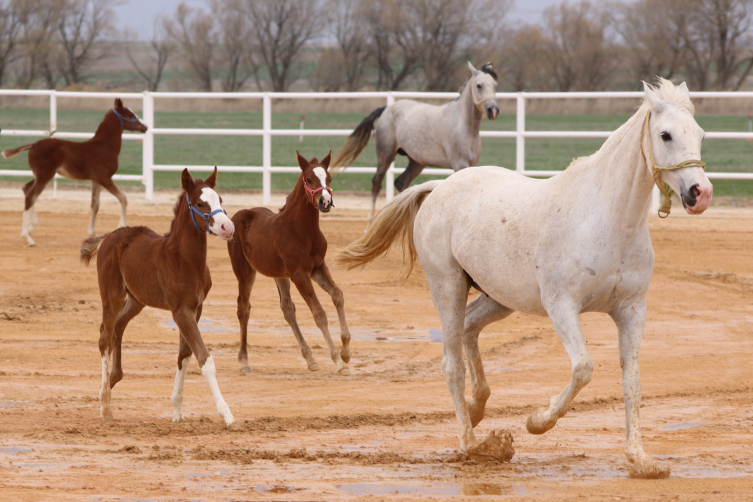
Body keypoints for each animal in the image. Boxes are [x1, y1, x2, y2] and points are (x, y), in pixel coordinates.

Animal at [1, 97, 146, 246]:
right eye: (130, 115)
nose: (145, 127)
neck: (104, 146)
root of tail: (33, 145)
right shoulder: (104, 178)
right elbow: (123, 198)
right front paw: (121, 225)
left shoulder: (95, 181)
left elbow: (95, 205)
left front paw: (92, 235)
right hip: (45, 176)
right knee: (31, 196)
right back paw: (27, 237)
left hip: (40, 175)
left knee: (26, 189)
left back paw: (31, 228)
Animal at [81, 168, 236, 424]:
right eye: (200, 203)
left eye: (220, 200)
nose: (228, 227)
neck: (184, 260)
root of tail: (110, 236)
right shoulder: (180, 310)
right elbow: (204, 358)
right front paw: (226, 413)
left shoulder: (196, 308)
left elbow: (184, 355)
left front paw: (177, 410)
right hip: (112, 295)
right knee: (105, 334)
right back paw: (105, 403)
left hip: (137, 300)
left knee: (118, 327)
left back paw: (114, 378)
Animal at [228, 151, 352, 374]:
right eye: (309, 179)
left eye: (329, 179)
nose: (326, 201)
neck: (302, 229)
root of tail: (240, 214)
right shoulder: (299, 273)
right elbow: (319, 313)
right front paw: (338, 361)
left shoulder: (317, 267)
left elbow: (338, 295)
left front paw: (346, 352)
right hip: (245, 272)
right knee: (243, 308)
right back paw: (244, 361)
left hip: (279, 274)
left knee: (287, 308)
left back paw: (310, 359)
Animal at [330, 61, 496, 222]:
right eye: (479, 85)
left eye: (495, 84)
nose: (493, 110)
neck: (462, 124)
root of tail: (387, 108)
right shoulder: (459, 164)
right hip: (385, 154)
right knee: (376, 182)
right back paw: (370, 220)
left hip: (416, 162)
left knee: (402, 183)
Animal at [338, 79, 712, 478]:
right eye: (665, 134)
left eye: (700, 134)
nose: (700, 193)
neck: (607, 219)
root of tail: (438, 187)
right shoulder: (561, 306)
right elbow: (583, 369)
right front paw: (537, 422)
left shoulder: (631, 310)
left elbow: (632, 383)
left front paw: (640, 459)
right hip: (447, 286)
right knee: (452, 363)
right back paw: (473, 443)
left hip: (498, 298)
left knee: (470, 329)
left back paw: (477, 408)